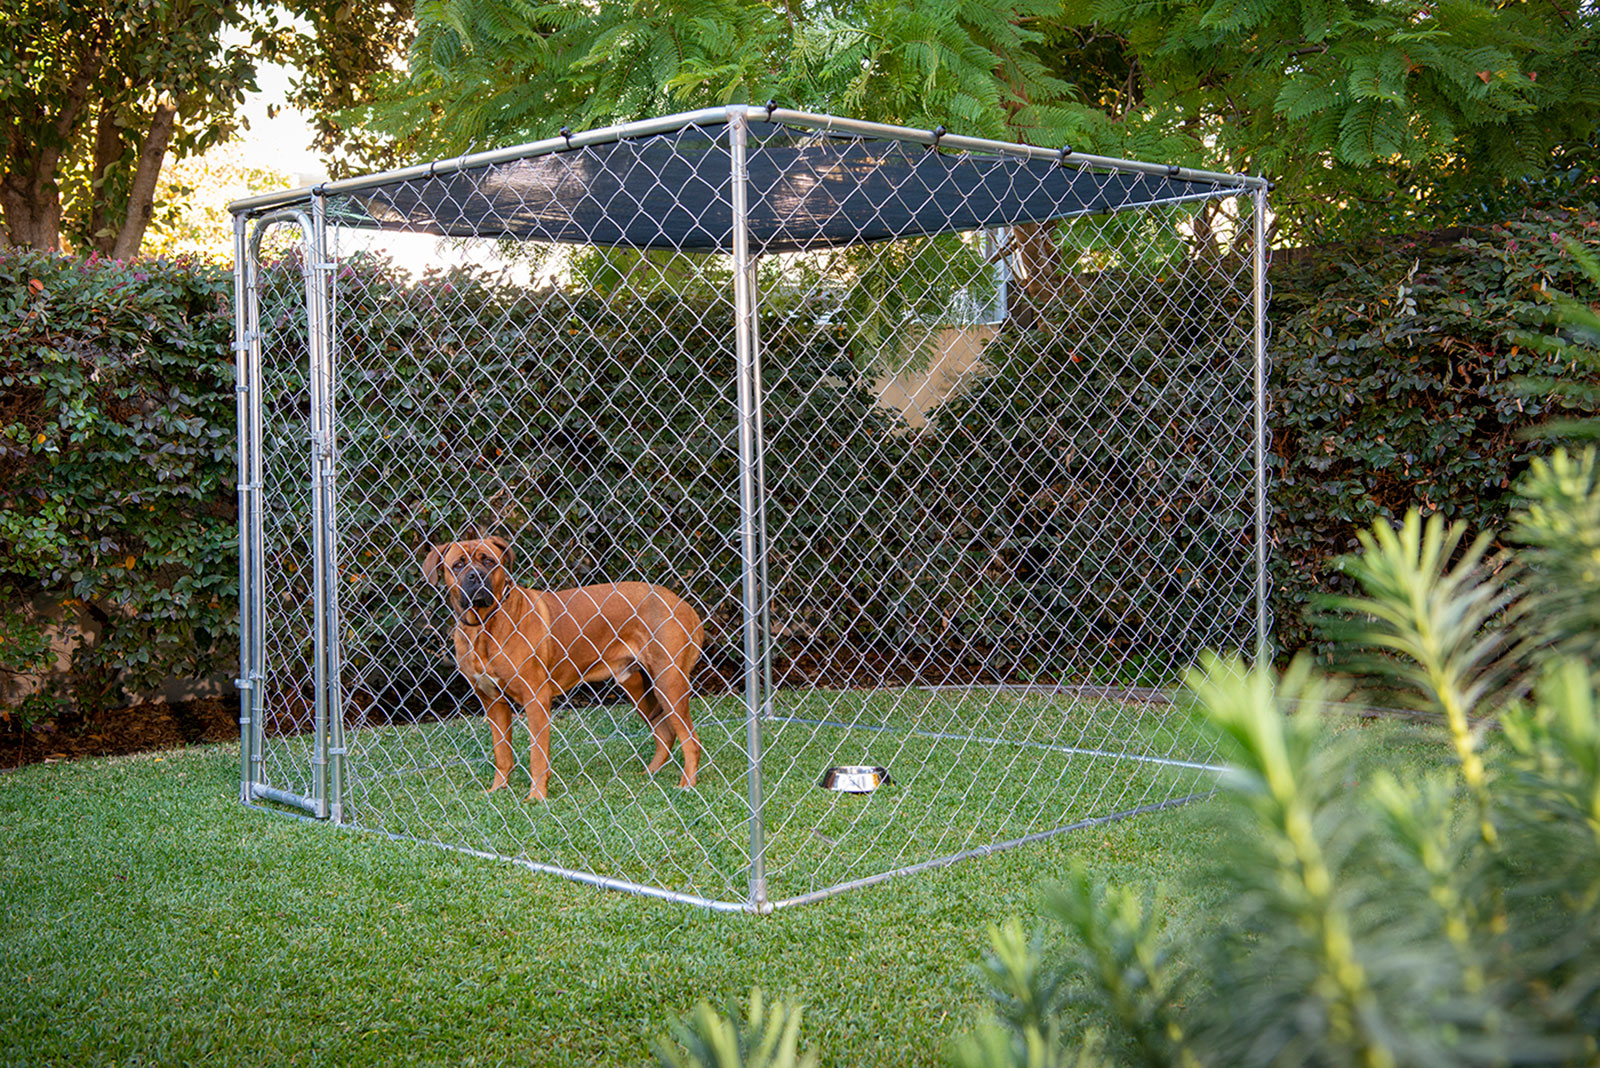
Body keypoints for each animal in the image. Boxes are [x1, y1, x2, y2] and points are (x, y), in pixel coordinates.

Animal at [422, 537, 704, 800]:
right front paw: (497, 789)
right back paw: (650, 775)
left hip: (669, 683)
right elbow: (502, 753)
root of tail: (683, 605)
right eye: (458, 565)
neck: (484, 626)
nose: (476, 576)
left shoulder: (536, 699)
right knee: (665, 733)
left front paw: (536, 797)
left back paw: (687, 784)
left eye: (489, 561)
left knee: (691, 740)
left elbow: (537, 755)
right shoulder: (492, 702)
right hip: (638, 687)